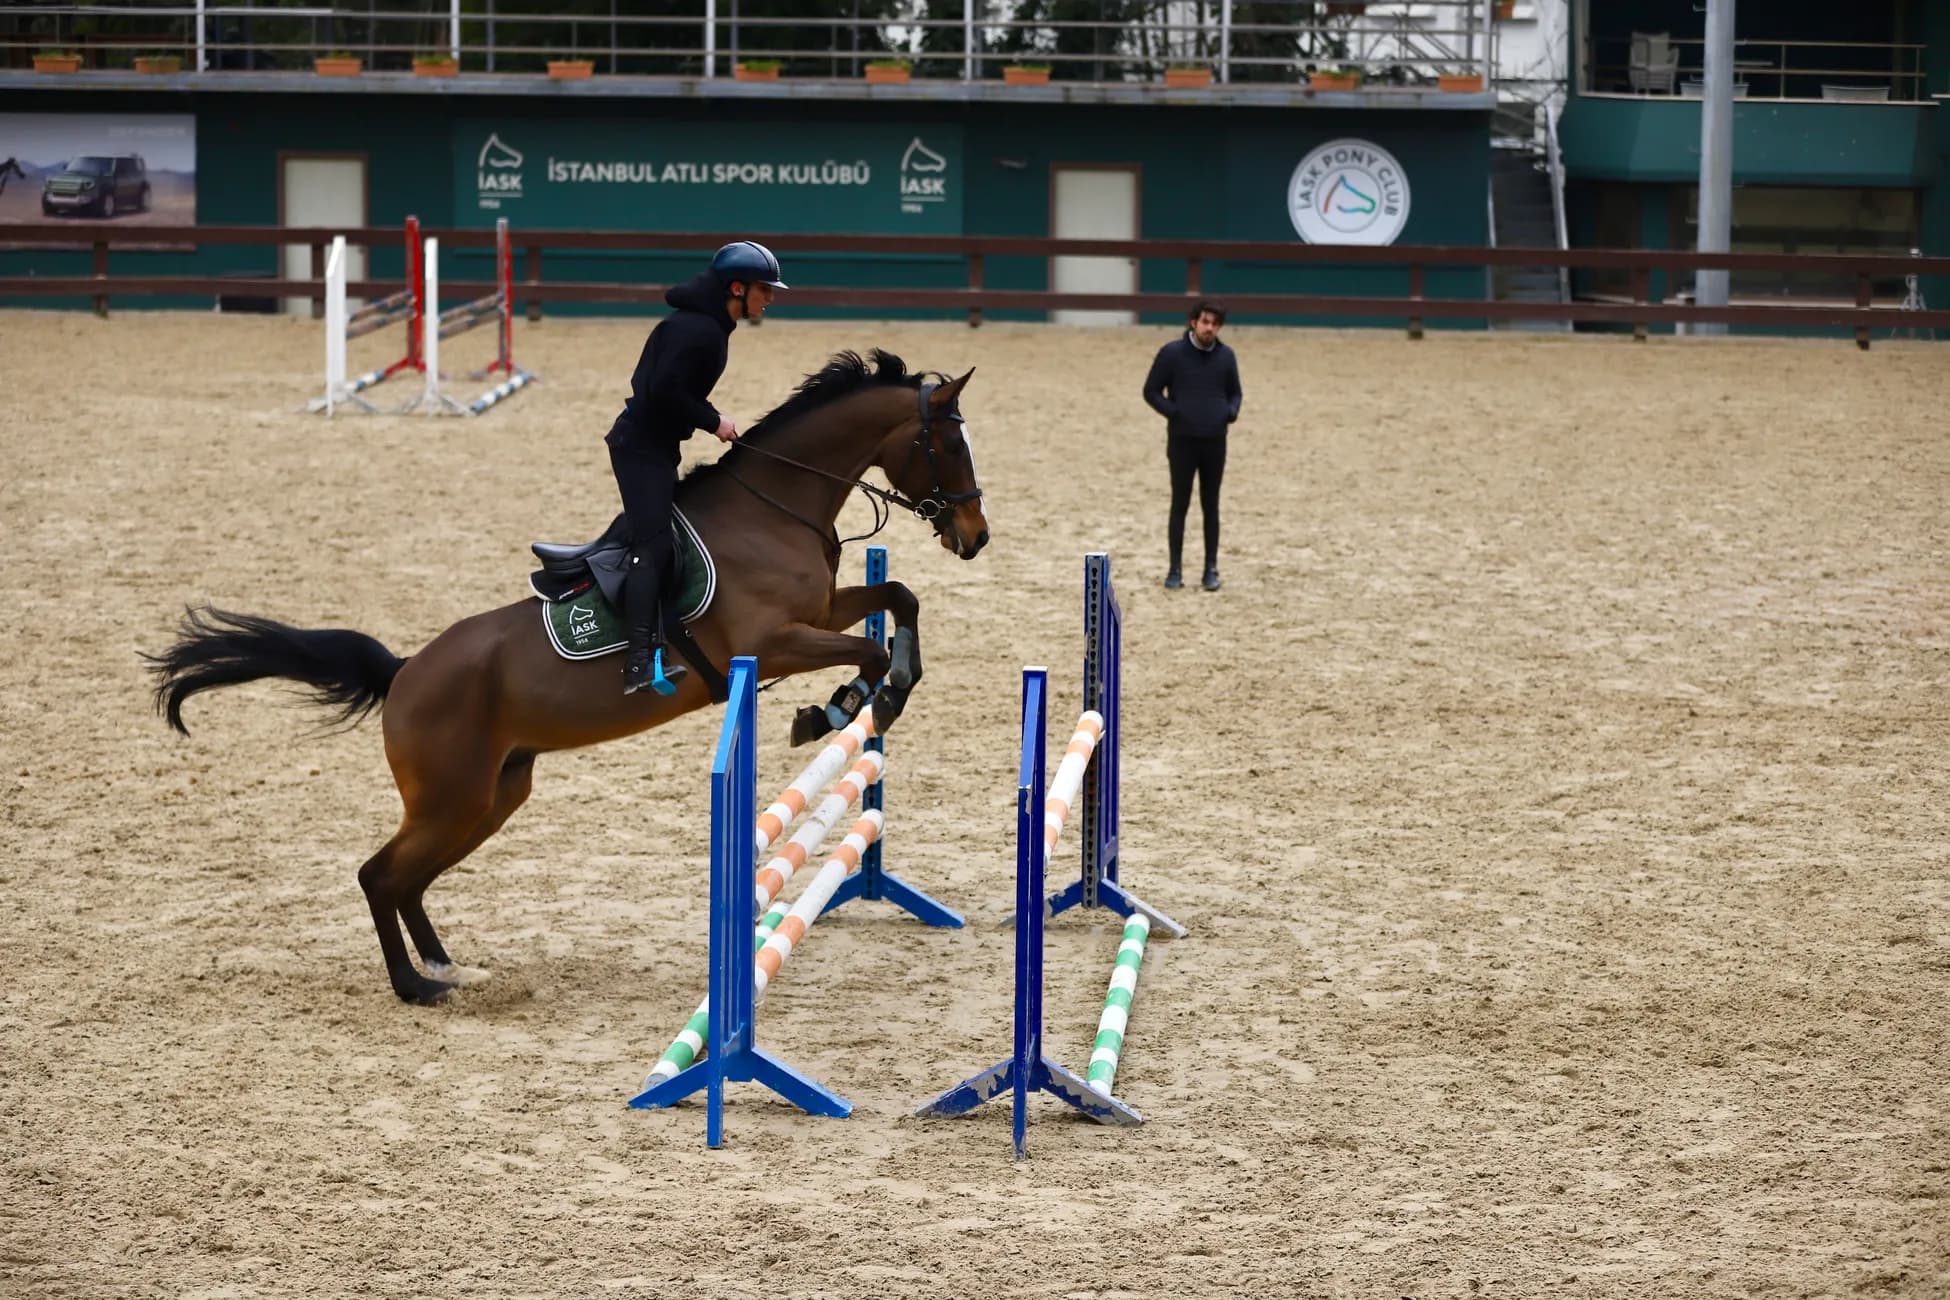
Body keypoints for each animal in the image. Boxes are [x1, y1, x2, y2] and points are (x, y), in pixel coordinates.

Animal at [146, 350, 990, 1005]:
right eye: (948, 444)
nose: (976, 537)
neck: (776, 510)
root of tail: (405, 671)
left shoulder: (823, 611)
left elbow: (898, 599)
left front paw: (887, 687)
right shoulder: (774, 643)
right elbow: (867, 655)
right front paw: (840, 709)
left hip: (493, 795)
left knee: (407, 879)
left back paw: (444, 966)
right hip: (454, 797)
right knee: (378, 875)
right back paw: (415, 986)